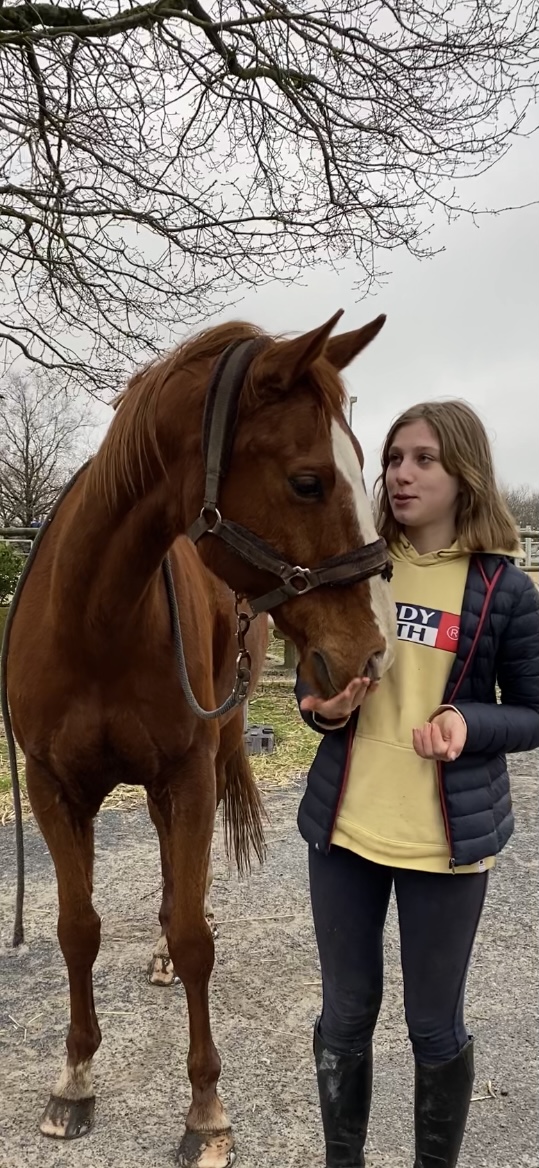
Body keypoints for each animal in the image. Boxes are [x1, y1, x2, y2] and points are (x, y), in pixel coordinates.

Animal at [5, 313, 395, 1168]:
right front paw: (74, 1080)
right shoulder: (52, 788)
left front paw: (205, 1110)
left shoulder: (185, 774)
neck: (96, 618)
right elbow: (76, 929)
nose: (369, 658)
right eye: (308, 481)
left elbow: (192, 938)